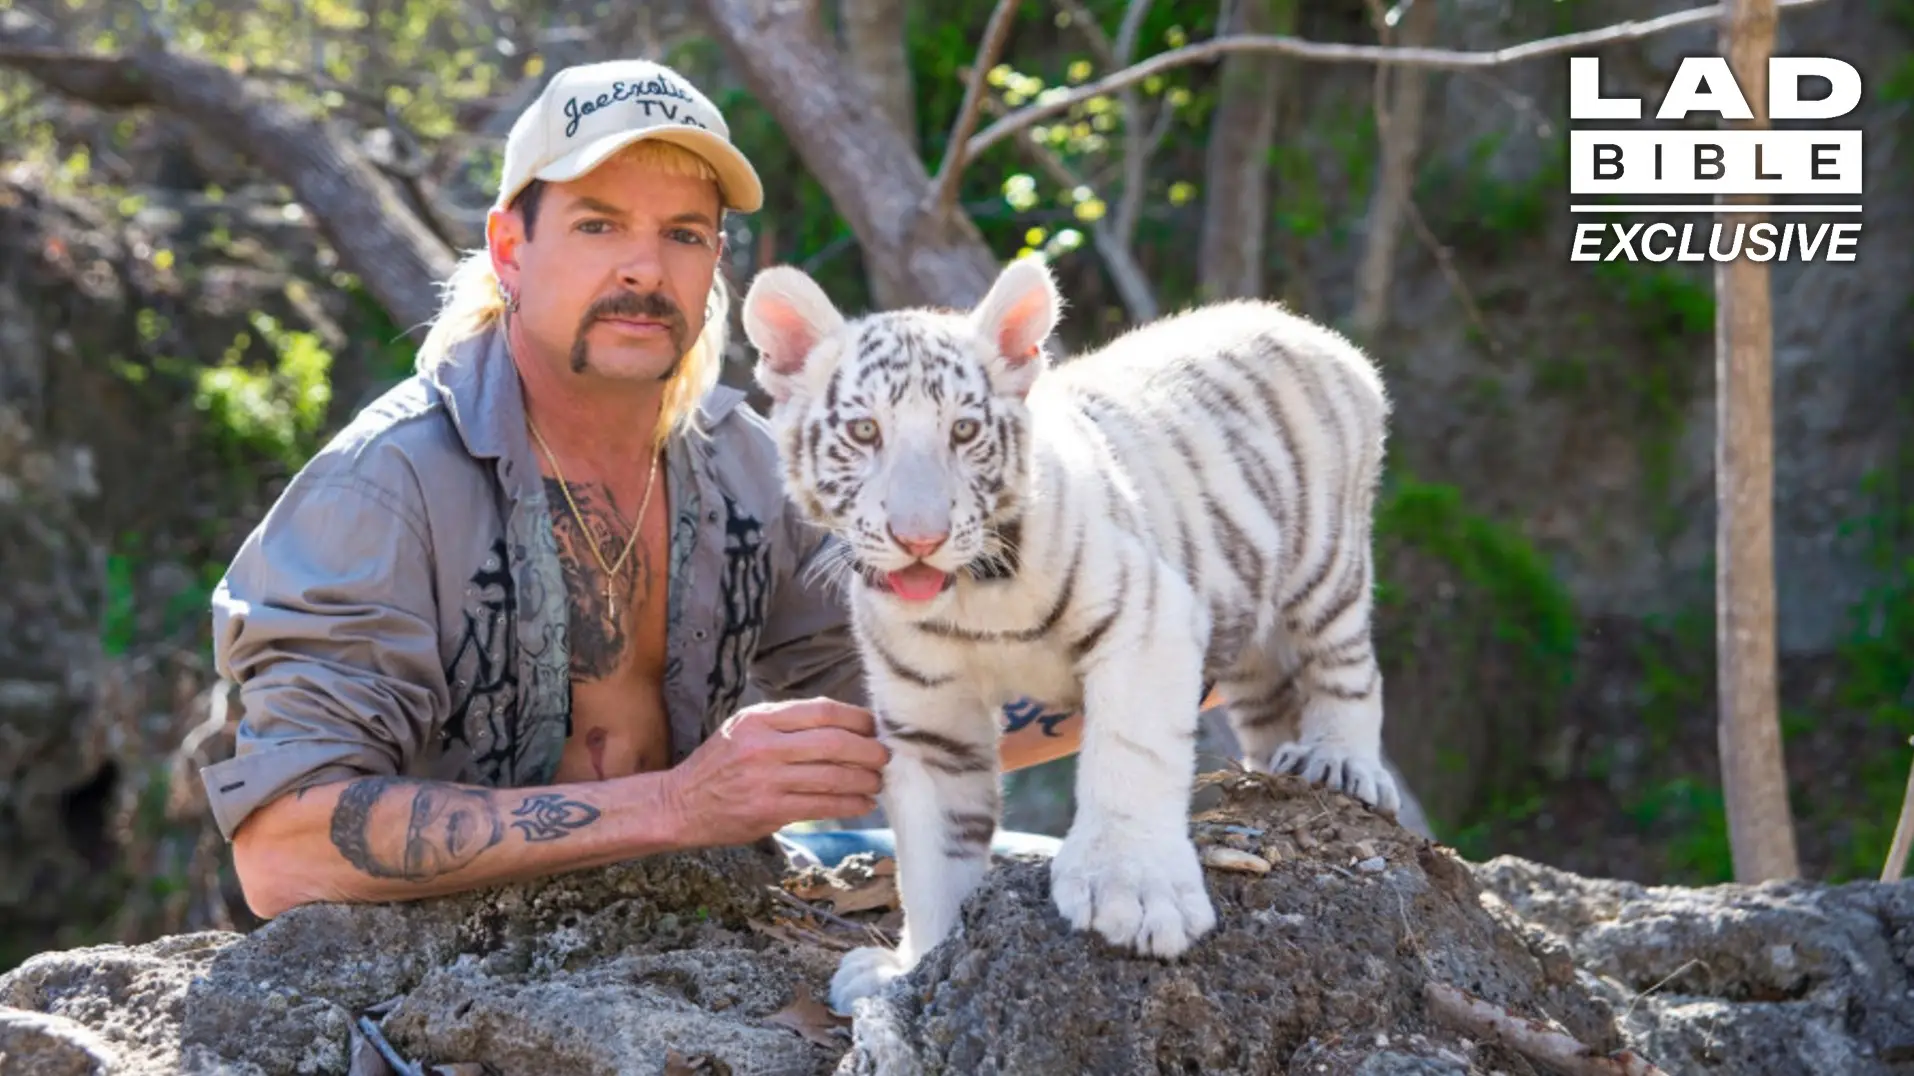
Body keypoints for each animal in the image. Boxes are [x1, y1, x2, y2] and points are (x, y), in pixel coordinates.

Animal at [739, 255, 1400, 1013]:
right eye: (864, 433)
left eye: (963, 432)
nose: (920, 538)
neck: (974, 595)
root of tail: (1304, 326)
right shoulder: (929, 716)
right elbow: (935, 851)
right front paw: (918, 967)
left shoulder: (1147, 619)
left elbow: (1130, 757)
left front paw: (1135, 895)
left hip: (1327, 564)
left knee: (1349, 665)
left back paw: (1339, 761)